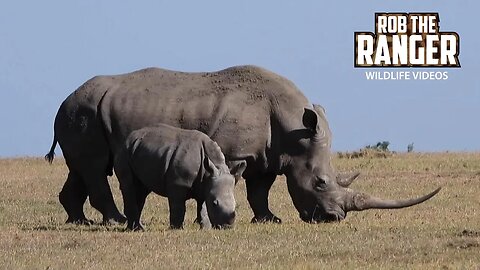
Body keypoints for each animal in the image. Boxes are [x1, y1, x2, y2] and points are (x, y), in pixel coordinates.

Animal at [114, 124, 246, 230]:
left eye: (235, 205)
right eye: (214, 203)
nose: (227, 227)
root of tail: (128, 138)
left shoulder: (206, 183)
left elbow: (203, 206)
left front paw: (205, 228)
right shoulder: (178, 183)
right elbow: (178, 206)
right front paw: (177, 228)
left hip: (140, 152)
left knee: (142, 190)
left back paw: (136, 227)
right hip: (124, 152)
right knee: (129, 186)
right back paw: (137, 229)